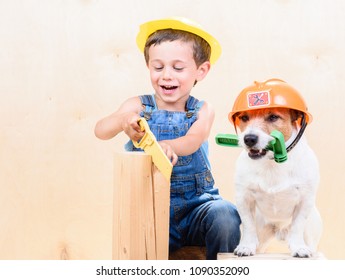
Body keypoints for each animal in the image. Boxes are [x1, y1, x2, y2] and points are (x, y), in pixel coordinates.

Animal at [230, 80, 322, 258]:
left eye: (273, 117)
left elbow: (297, 225)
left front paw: (299, 248)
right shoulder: (243, 198)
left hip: (311, 229)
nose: (249, 139)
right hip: (261, 231)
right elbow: (248, 225)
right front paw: (246, 246)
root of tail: (279, 231)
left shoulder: (305, 200)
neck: (272, 162)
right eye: (244, 117)